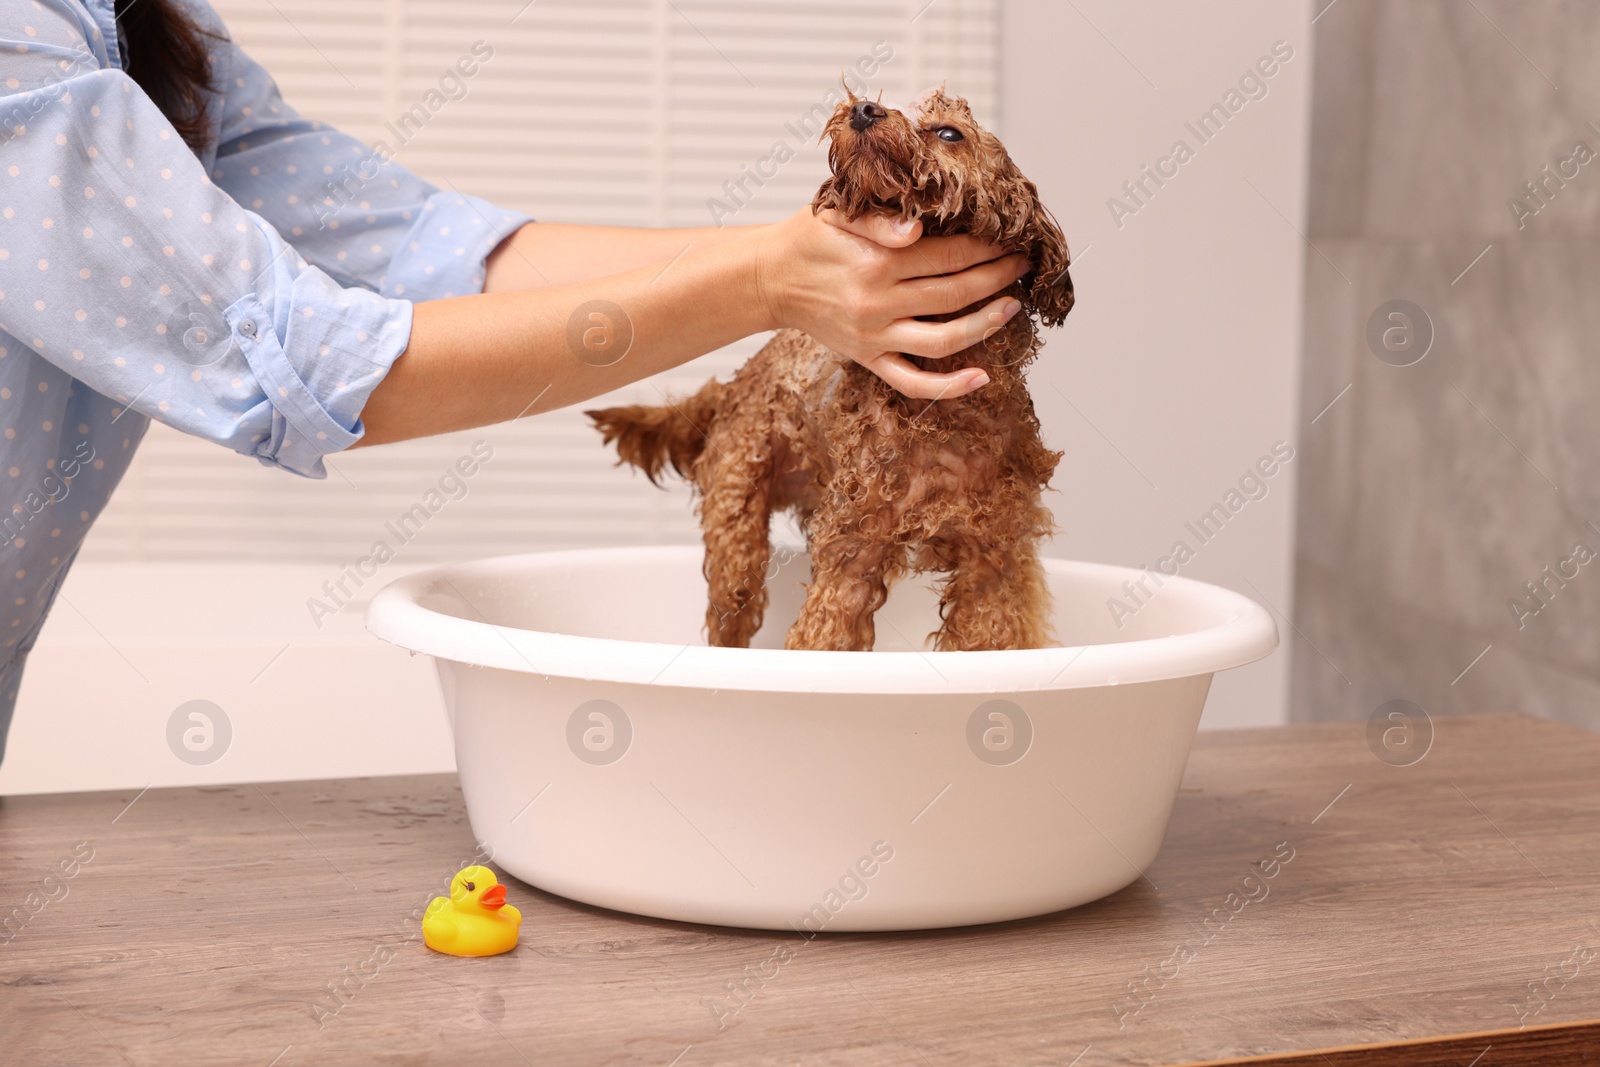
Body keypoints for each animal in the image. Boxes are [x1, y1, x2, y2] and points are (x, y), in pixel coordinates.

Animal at [588, 89, 1075, 652]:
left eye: (949, 133)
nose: (864, 108)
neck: (943, 405)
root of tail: (738, 381)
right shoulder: (853, 550)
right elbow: (823, 636)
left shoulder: (993, 563)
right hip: (736, 526)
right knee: (730, 612)